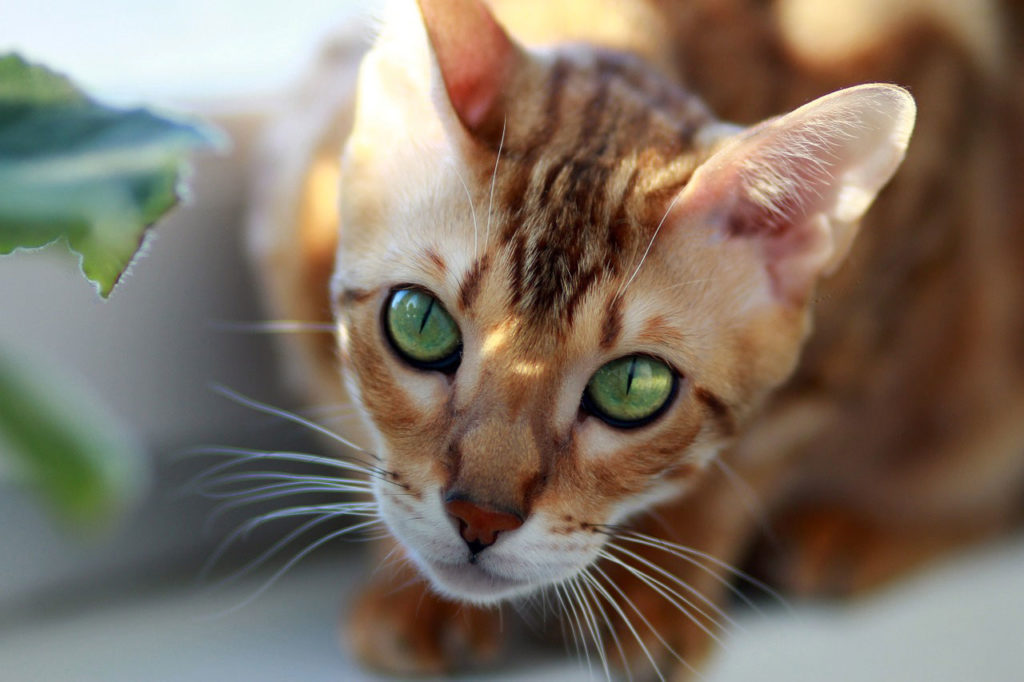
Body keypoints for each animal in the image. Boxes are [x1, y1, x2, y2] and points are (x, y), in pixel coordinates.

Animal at [247, 0, 1024, 675]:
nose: (478, 517)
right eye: (420, 322)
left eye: (633, 387)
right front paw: (410, 590)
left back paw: (853, 534)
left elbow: (751, 463)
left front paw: (659, 595)